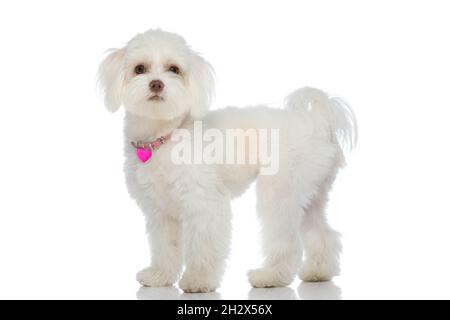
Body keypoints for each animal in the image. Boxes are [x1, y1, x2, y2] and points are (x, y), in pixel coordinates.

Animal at [97, 28, 356, 292]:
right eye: (140, 68)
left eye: (174, 69)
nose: (156, 84)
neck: (164, 136)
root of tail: (317, 122)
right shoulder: (160, 210)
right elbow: (165, 247)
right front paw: (160, 276)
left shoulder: (204, 204)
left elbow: (203, 245)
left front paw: (199, 280)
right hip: (310, 193)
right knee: (322, 234)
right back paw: (318, 272)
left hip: (280, 190)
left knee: (287, 242)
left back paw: (270, 276)